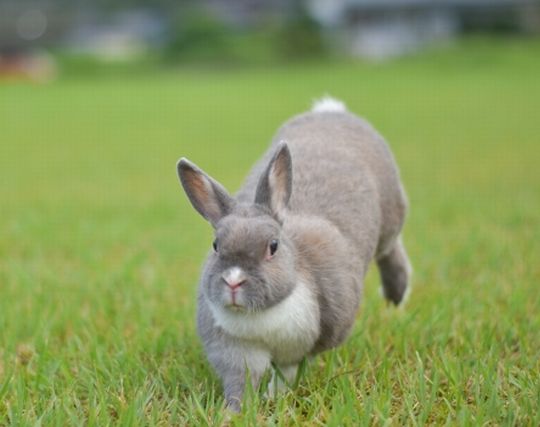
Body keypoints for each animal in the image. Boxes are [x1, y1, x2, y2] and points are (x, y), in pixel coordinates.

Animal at [176, 97, 410, 412]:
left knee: (391, 251)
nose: (234, 281)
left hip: (390, 220)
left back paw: (396, 297)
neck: (263, 315)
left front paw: (273, 397)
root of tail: (331, 112)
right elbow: (241, 380)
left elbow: (288, 372)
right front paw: (233, 413)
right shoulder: (236, 350)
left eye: (273, 246)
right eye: (216, 245)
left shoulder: (307, 345)